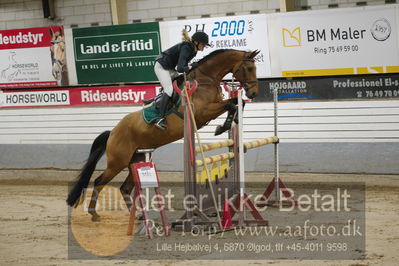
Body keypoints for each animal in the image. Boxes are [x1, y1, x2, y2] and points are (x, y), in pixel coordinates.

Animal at [67, 48, 260, 220]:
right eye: (249, 68)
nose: (253, 93)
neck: (205, 79)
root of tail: (113, 132)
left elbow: (236, 102)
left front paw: (229, 122)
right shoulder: (202, 112)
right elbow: (231, 104)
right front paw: (223, 126)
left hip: (136, 160)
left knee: (125, 188)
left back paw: (137, 216)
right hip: (117, 162)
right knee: (99, 182)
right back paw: (94, 214)